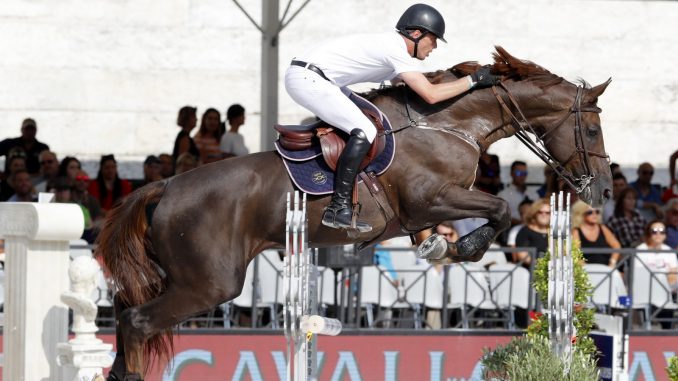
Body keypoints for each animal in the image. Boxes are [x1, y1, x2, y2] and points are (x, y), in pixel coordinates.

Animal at [97, 46, 616, 378]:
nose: (605, 190)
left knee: (127, 317)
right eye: (591, 131)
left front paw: (439, 245)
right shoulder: (430, 197)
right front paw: (465, 246)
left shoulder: (427, 207)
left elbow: (466, 220)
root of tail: (166, 186)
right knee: (136, 322)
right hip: (210, 284)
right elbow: (502, 208)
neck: (449, 123)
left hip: (177, 277)